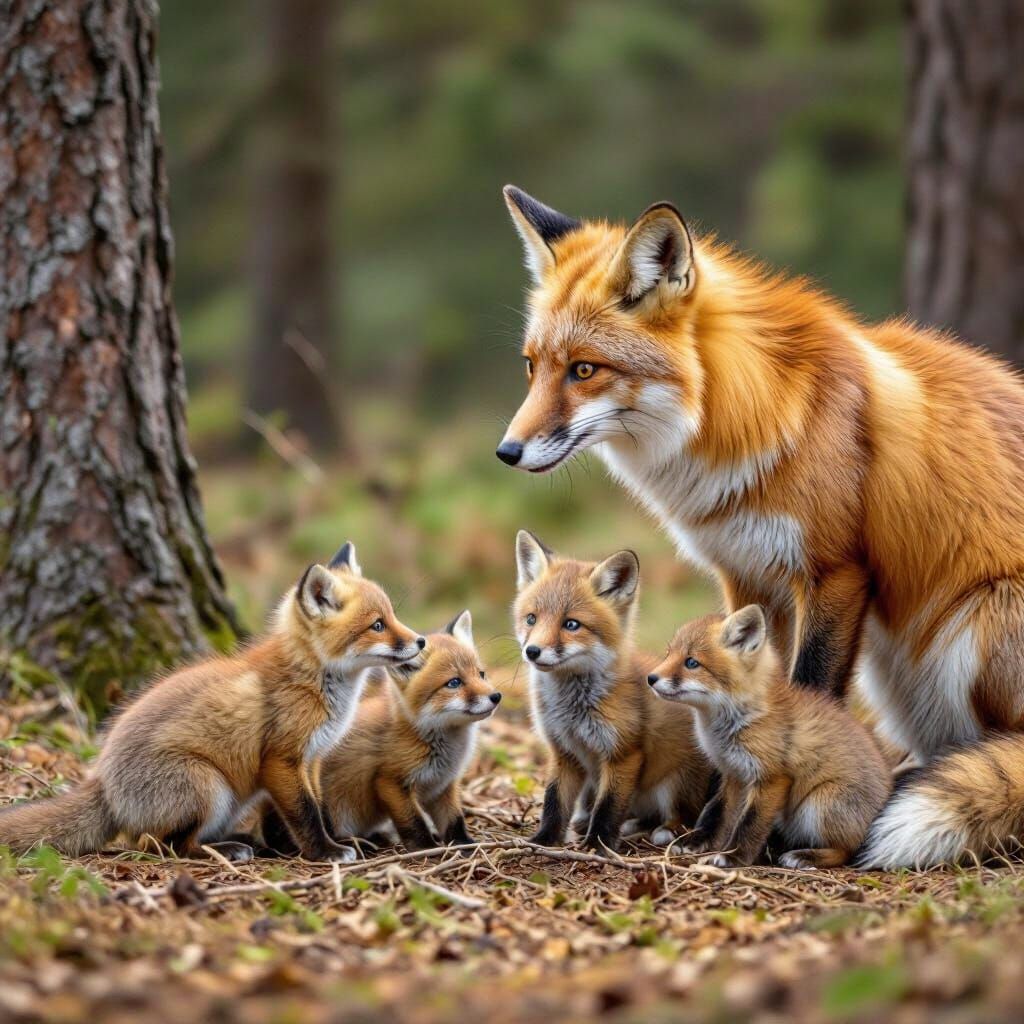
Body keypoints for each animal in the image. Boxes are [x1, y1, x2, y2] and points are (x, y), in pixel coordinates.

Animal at [0, 543, 424, 863]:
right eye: (377, 625)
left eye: (392, 615)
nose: (420, 641)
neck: (313, 680)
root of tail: (102, 779)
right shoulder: (281, 759)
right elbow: (304, 813)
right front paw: (324, 852)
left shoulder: (313, 758)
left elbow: (319, 808)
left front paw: (334, 842)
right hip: (208, 787)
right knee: (159, 844)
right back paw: (223, 849)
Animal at [514, 530, 712, 853]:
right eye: (531, 618)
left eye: (571, 624)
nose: (532, 651)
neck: (572, 711)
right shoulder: (563, 751)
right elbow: (554, 802)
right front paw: (544, 840)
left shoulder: (623, 753)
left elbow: (608, 807)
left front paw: (598, 845)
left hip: (674, 785)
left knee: (683, 815)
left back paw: (666, 831)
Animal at [648, 605, 891, 868]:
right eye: (668, 654)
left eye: (691, 662)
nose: (650, 678)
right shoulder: (734, 773)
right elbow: (716, 812)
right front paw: (696, 841)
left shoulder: (772, 777)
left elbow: (750, 823)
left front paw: (733, 857)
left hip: (820, 802)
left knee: (846, 851)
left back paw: (805, 855)